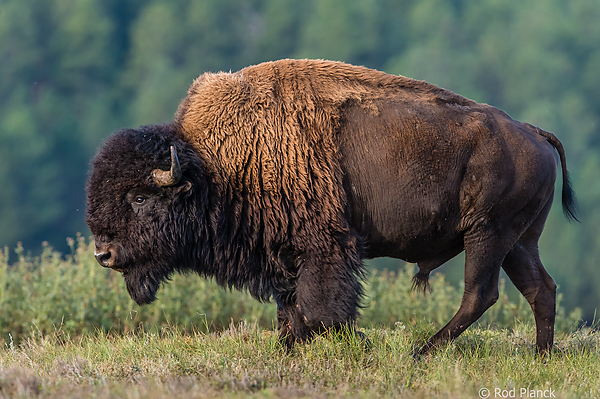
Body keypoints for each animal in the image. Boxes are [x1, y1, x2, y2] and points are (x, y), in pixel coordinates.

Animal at [84, 58, 576, 356]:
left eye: (140, 198)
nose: (103, 254)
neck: (216, 165)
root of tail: (532, 131)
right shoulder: (285, 256)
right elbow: (291, 309)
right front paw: (287, 349)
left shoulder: (324, 248)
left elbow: (320, 309)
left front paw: (352, 342)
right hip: (518, 240)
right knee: (540, 289)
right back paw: (540, 357)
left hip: (487, 234)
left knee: (481, 293)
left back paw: (422, 353)